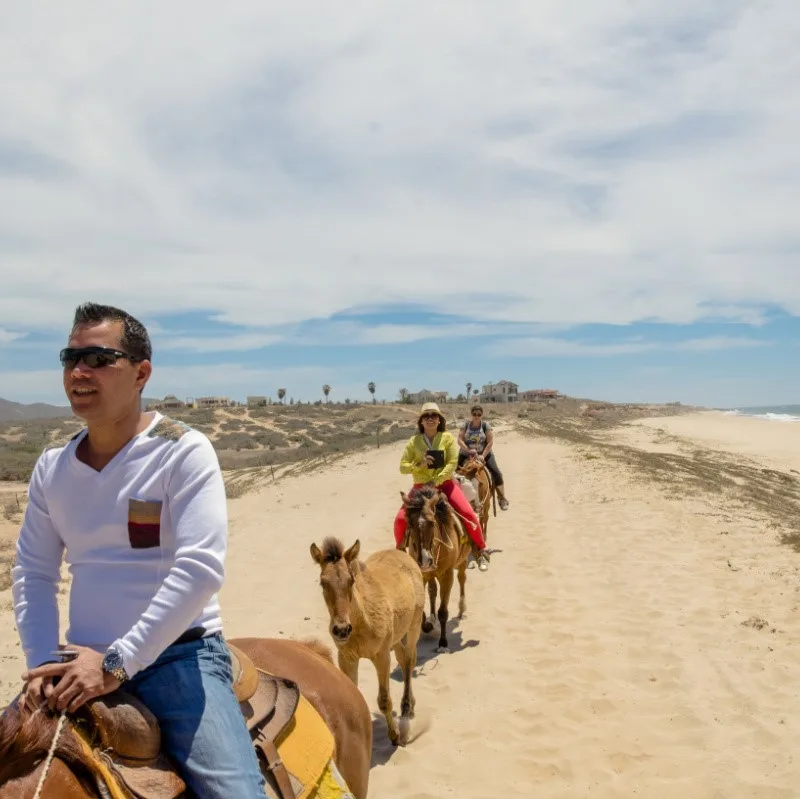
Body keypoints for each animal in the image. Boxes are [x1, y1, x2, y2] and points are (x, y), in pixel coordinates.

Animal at [310, 536, 428, 752]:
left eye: (351, 580)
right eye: (323, 583)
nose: (341, 630)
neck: (360, 621)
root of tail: (403, 555)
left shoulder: (381, 656)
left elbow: (384, 700)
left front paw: (395, 735)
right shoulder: (346, 659)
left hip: (414, 626)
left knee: (409, 660)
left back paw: (407, 707)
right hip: (396, 637)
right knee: (402, 658)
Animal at [398, 484, 468, 652]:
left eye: (432, 523)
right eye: (409, 524)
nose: (425, 560)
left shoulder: (447, 575)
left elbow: (443, 611)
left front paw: (443, 643)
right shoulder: (422, 574)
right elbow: (420, 604)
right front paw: (427, 625)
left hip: (462, 561)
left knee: (462, 578)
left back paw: (461, 609)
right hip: (430, 573)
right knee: (432, 590)